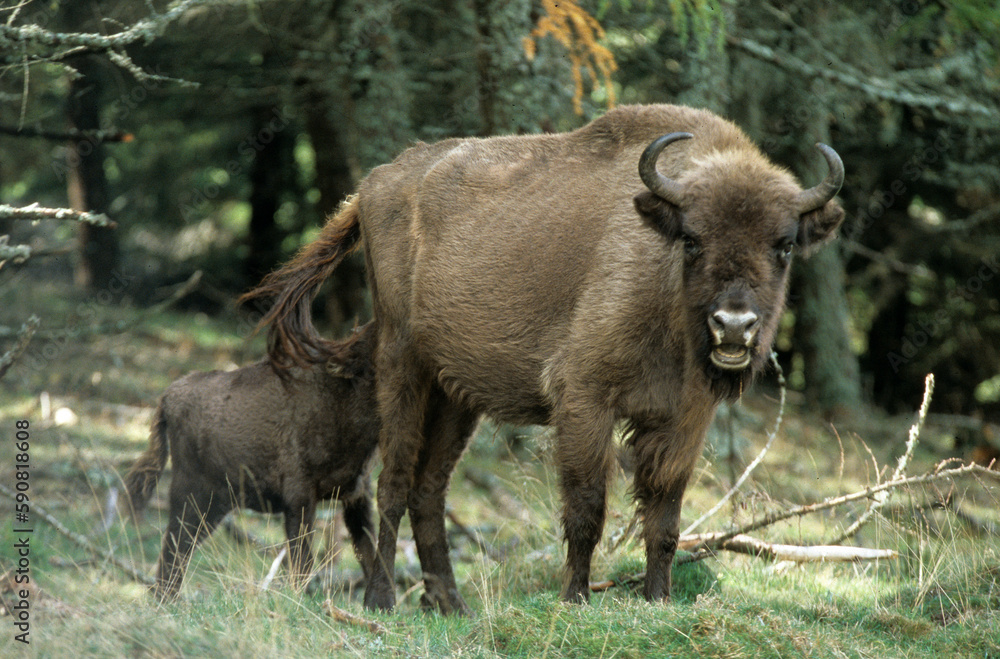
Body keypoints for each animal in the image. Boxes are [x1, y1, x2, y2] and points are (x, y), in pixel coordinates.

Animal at [122, 322, 378, 600]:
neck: (339, 395)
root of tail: (170, 394)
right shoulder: (300, 498)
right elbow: (302, 560)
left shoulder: (358, 496)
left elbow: (369, 553)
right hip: (192, 496)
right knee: (175, 547)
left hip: (215, 505)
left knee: (178, 547)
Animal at [242, 103, 844, 612]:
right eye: (692, 239)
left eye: (785, 244)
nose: (734, 326)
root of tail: (373, 184)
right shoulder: (584, 402)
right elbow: (587, 510)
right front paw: (575, 599)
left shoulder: (684, 420)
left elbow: (664, 519)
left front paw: (658, 600)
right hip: (402, 364)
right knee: (391, 483)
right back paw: (381, 600)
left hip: (456, 394)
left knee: (428, 489)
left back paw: (450, 604)